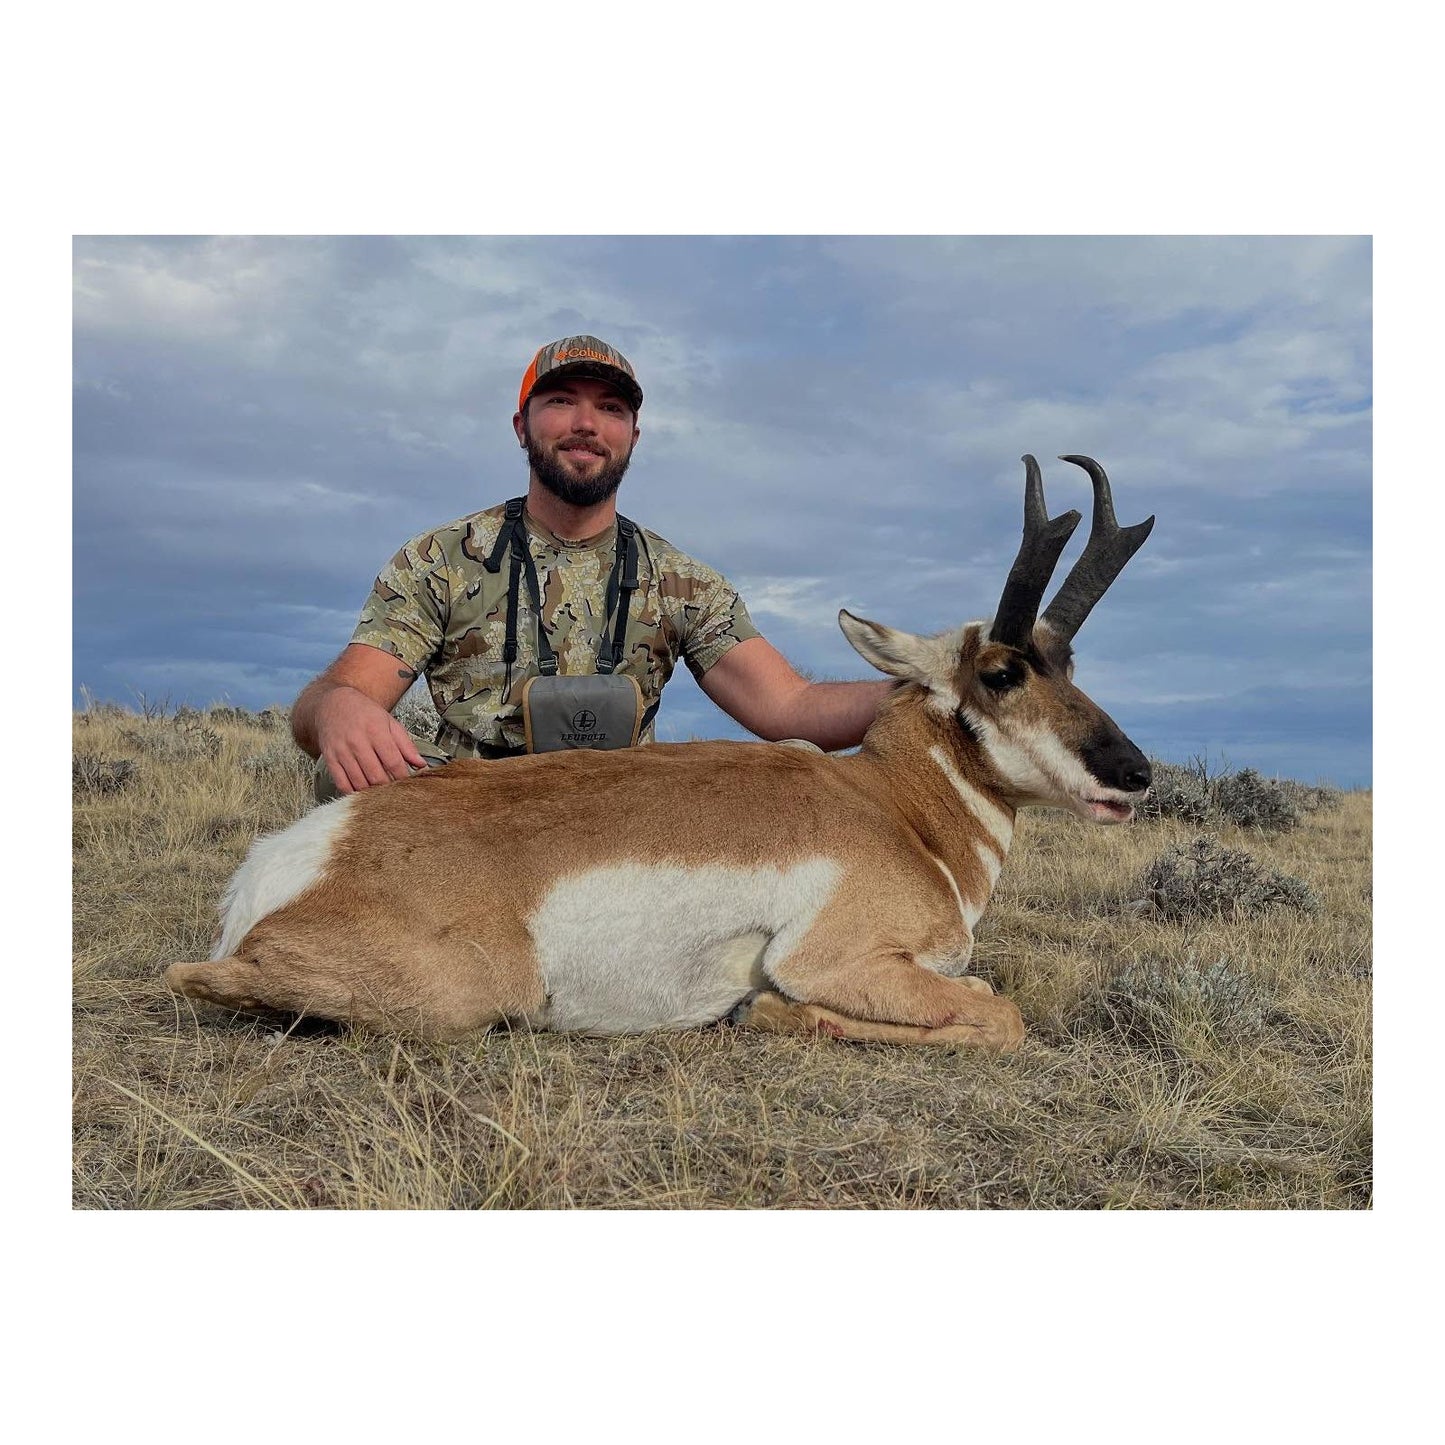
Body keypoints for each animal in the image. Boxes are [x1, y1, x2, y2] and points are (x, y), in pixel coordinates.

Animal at [165, 455, 1154, 1050]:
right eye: (1000, 671)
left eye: (1069, 663)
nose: (1134, 773)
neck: (900, 812)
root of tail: (293, 857)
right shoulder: (841, 961)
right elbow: (999, 1011)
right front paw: (768, 1009)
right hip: (468, 991)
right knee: (186, 976)